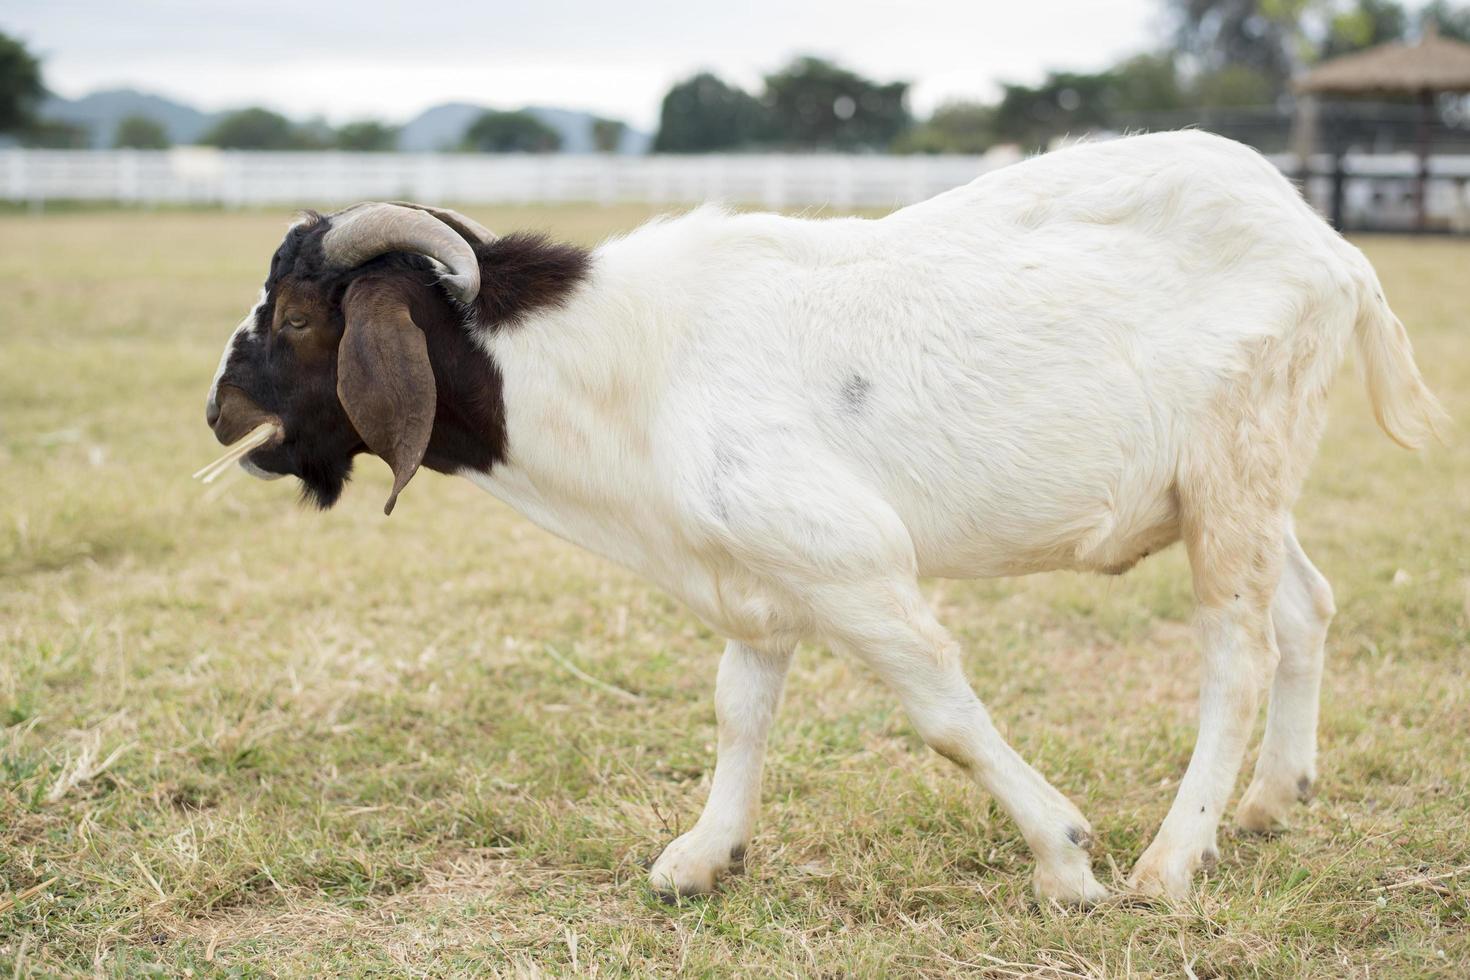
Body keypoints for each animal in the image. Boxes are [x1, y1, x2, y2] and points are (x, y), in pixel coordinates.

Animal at [207, 132, 1446, 905]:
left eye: (302, 315)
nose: (220, 408)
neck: (626, 364)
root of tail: (1332, 244)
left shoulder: (850, 566)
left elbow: (944, 716)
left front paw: (1066, 858)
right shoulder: (758, 578)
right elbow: (738, 709)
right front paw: (703, 856)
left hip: (1238, 463)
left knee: (1237, 650)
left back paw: (1171, 860)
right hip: (1233, 482)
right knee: (1307, 605)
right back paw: (1273, 801)